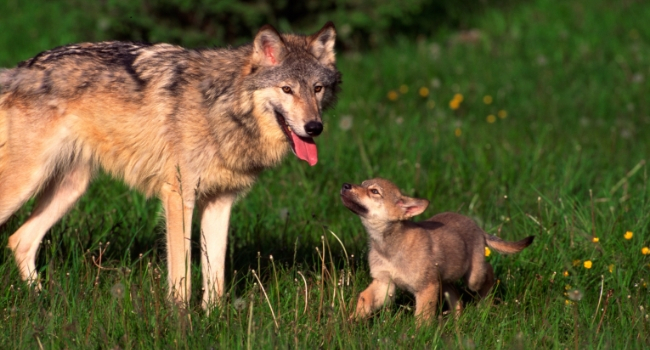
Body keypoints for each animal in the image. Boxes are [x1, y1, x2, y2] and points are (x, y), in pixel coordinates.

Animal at [0, 21, 342, 308]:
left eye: (317, 89)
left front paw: (214, 320)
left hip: (70, 189)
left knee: (20, 240)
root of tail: (20, 68)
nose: (314, 127)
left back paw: (43, 300)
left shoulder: (220, 202)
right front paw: (180, 322)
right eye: (287, 89)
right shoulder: (179, 197)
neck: (221, 108)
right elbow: (182, 277)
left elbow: (215, 277)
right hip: (26, 185)